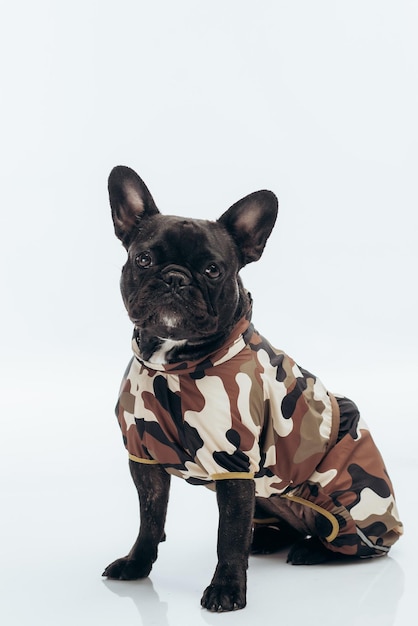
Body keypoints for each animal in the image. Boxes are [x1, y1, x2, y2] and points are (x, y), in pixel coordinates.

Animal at [101, 166, 402, 608]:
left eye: (212, 269)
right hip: (265, 499)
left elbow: (228, 536)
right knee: (276, 526)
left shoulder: (233, 463)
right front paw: (137, 564)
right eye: (143, 259)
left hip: (345, 500)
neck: (174, 366)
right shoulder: (145, 456)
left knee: (353, 543)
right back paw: (266, 540)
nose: (174, 278)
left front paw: (226, 589)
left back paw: (312, 551)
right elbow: (150, 520)